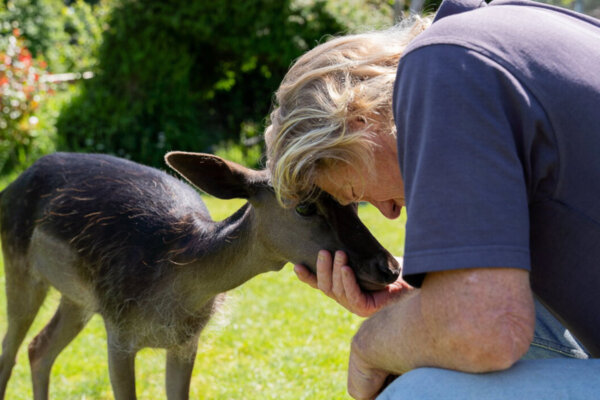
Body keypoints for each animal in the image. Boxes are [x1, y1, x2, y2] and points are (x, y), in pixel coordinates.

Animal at [0, 151, 400, 400]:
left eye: (352, 201)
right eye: (303, 206)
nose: (389, 266)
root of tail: (13, 184)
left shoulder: (186, 342)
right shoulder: (119, 331)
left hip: (78, 299)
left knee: (40, 348)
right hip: (19, 266)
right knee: (11, 350)